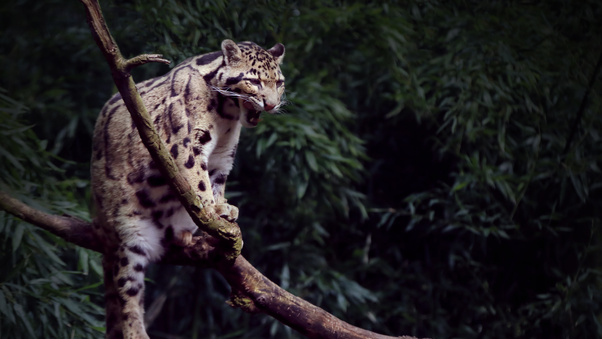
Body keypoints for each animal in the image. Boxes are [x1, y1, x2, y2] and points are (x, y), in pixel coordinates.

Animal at [90, 40, 284, 339]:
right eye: (253, 81)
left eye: (280, 82)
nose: (272, 104)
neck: (227, 117)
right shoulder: (186, 144)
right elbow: (198, 179)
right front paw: (211, 210)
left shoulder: (223, 156)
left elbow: (216, 182)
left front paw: (222, 208)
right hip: (129, 234)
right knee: (127, 292)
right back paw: (137, 332)